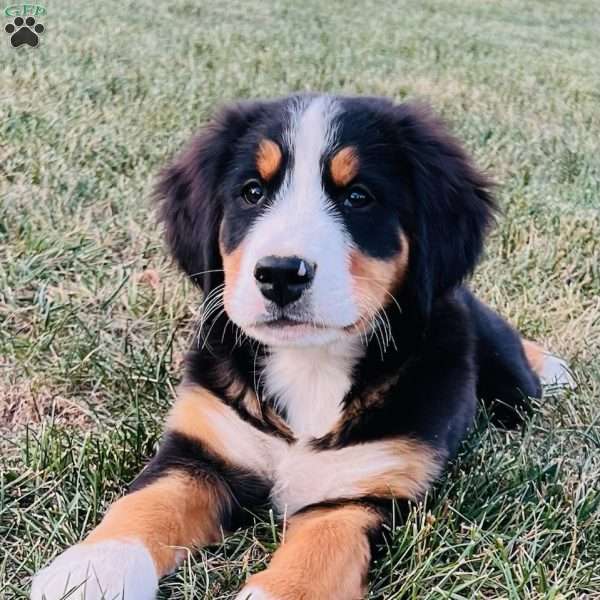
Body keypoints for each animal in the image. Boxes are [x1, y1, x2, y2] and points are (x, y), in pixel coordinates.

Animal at [31, 94, 572, 600]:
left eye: (358, 197)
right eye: (252, 192)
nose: (280, 274)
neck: (310, 365)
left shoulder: (369, 490)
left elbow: (322, 546)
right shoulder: (201, 450)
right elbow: (148, 502)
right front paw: (92, 570)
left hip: (508, 384)